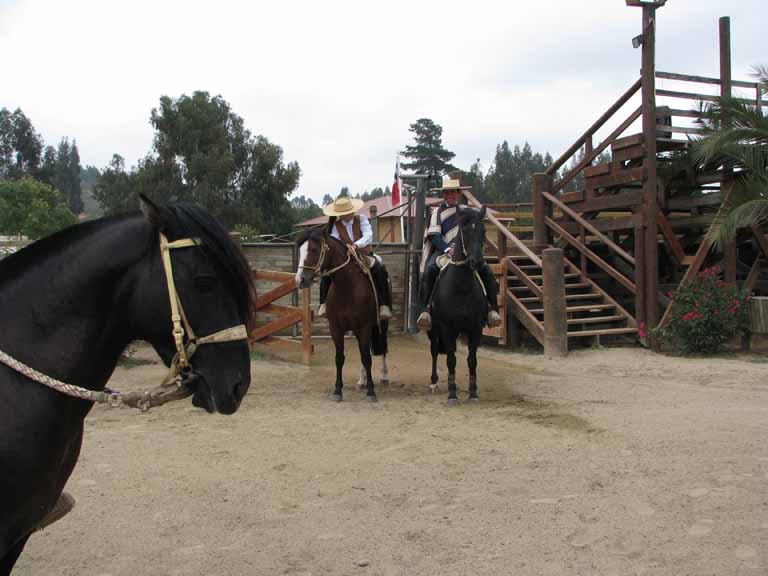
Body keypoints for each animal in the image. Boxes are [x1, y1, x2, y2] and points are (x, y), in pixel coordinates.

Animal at [296, 228, 390, 400]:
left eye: (313, 249)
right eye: (300, 251)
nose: (299, 280)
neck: (347, 287)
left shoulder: (364, 326)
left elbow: (367, 358)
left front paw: (371, 391)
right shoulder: (336, 328)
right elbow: (340, 358)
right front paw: (337, 390)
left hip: (382, 325)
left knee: (383, 347)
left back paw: (384, 376)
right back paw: (362, 380)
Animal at [428, 207, 496, 404]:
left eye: (483, 231)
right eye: (465, 231)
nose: (477, 262)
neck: (461, 288)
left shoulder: (475, 327)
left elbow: (471, 360)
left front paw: (473, 393)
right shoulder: (446, 327)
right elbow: (451, 359)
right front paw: (452, 395)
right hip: (434, 328)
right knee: (434, 351)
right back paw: (434, 382)